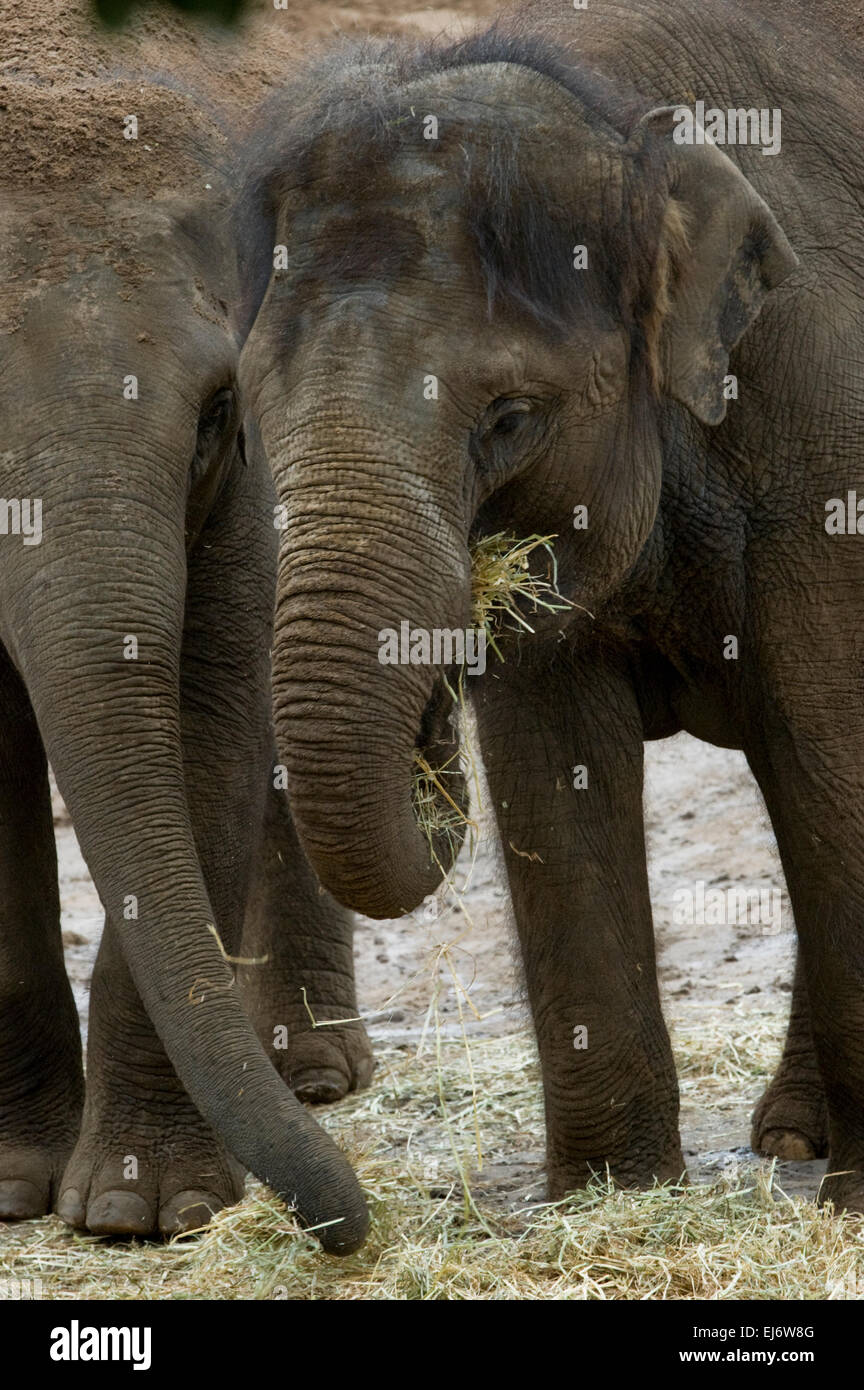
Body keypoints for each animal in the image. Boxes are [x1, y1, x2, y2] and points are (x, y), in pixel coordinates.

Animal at [0, 0, 372, 1245]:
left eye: (213, 412)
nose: (348, 1225)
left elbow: (210, 707)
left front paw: (139, 1210)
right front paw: (15, 1187)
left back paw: (311, 1074)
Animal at [238, 0, 864, 1212]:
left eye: (511, 418)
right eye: (249, 405)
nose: (432, 717)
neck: (623, 119)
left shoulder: (824, 428)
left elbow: (829, 746)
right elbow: (550, 755)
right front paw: (615, 1192)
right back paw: (790, 1137)